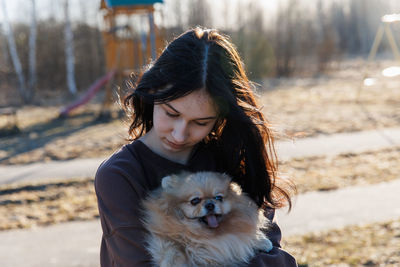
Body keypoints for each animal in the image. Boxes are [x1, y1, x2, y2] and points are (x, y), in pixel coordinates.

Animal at [141, 173, 272, 266]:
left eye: (218, 198)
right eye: (195, 200)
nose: (210, 204)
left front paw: (262, 241)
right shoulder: (167, 238)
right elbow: (173, 249)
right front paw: (171, 263)